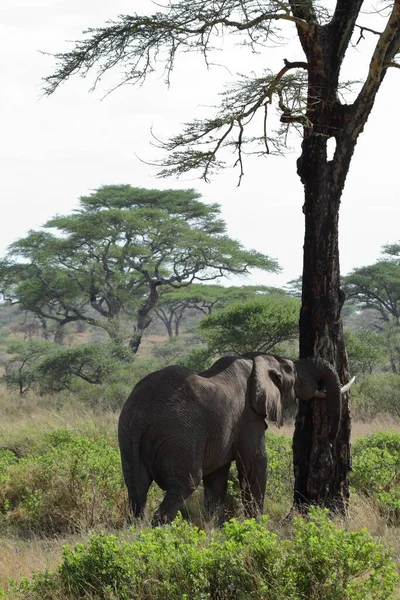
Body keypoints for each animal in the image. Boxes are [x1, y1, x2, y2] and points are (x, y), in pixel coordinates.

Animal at [118, 352, 354, 524]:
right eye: (291, 370)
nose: (330, 439)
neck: (256, 360)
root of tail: (141, 413)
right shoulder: (248, 418)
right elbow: (255, 463)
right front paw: (256, 526)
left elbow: (216, 478)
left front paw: (215, 526)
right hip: (179, 434)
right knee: (184, 484)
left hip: (127, 433)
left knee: (136, 489)